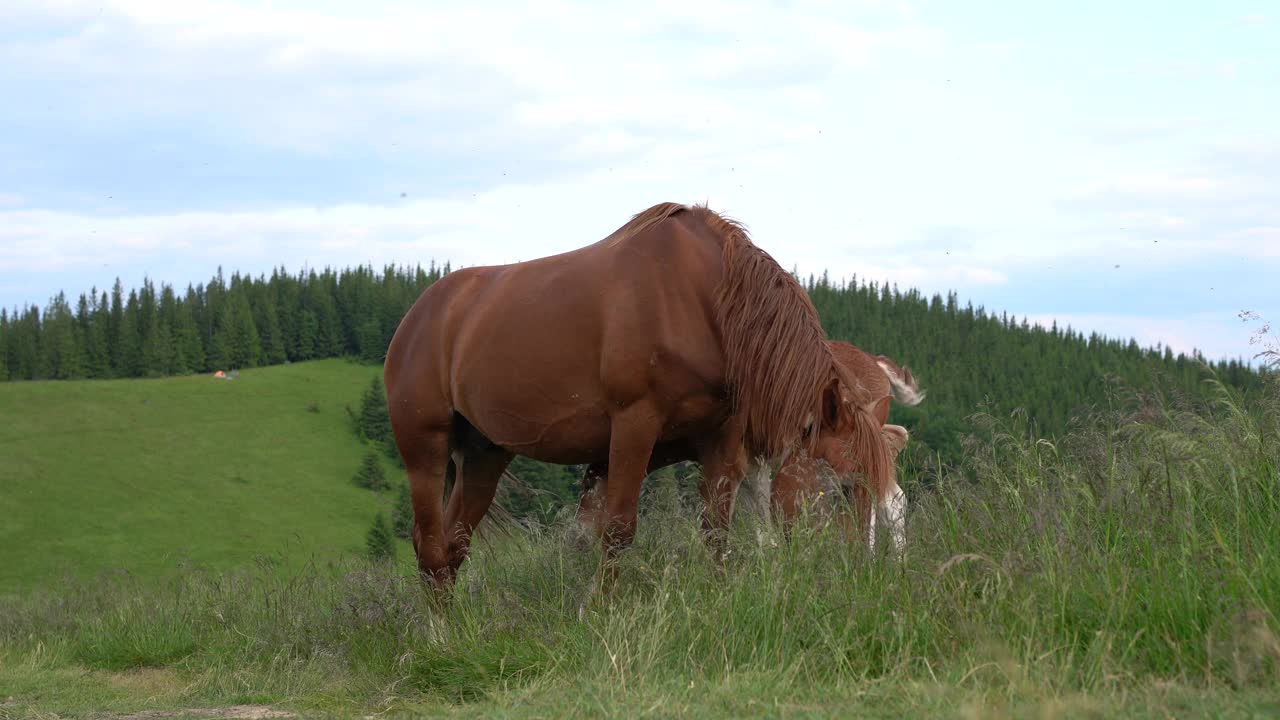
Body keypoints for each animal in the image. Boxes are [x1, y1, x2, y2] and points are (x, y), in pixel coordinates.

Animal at [378, 199, 890, 584]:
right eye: (845, 488)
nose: (861, 573)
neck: (704, 300)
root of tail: (419, 314)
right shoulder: (633, 427)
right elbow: (618, 530)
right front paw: (602, 613)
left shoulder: (719, 441)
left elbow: (716, 532)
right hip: (425, 449)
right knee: (430, 548)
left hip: (485, 455)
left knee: (453, 547)